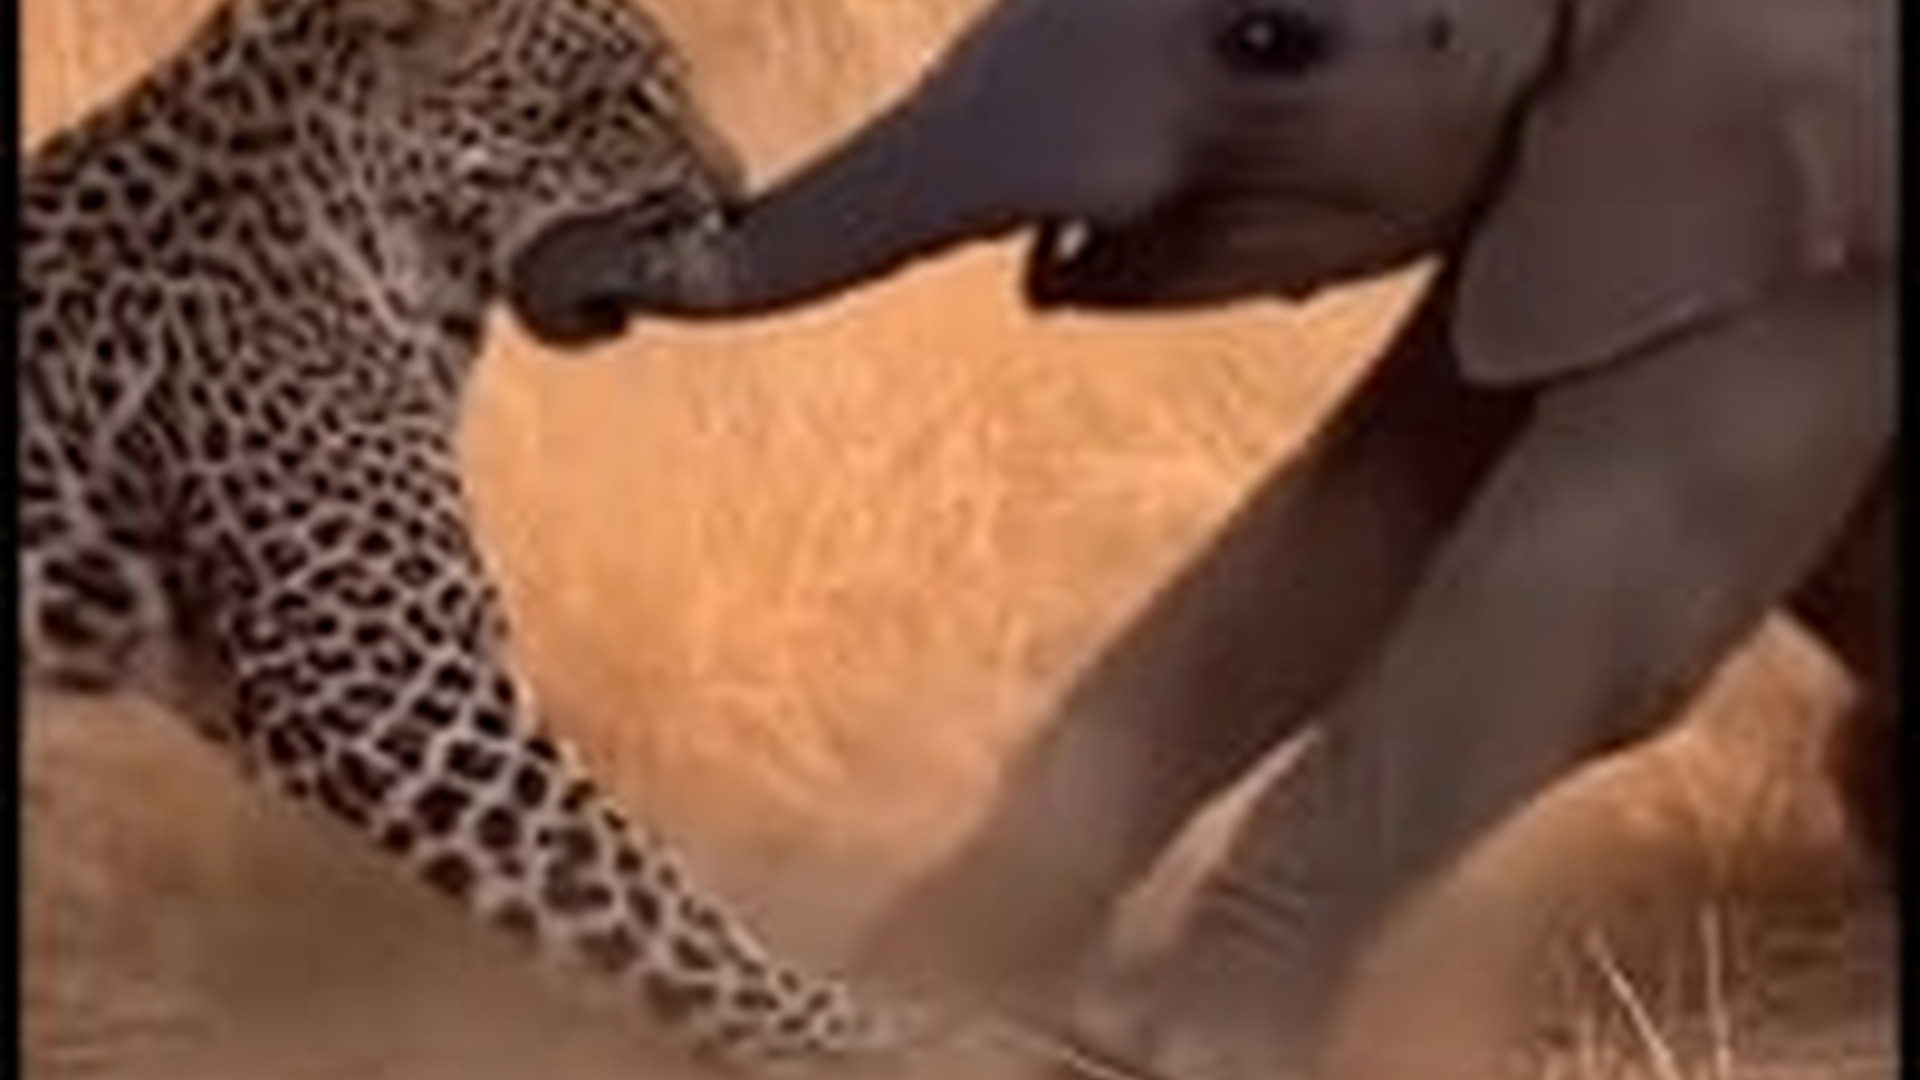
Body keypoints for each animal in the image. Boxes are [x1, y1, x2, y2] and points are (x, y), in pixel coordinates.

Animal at [18, 0, 915, 1070]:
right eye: (623, 102)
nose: (736, 196)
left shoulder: (236, 670)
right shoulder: (385, 681)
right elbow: (627, 885)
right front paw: (856, 1032)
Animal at [506, 0, 1897, 1075]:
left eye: (1270, 41)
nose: (584, 278)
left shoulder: (1811, 239)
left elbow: (1592, 607)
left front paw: (1168, 1051)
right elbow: (1322, 540)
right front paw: (919, 991)